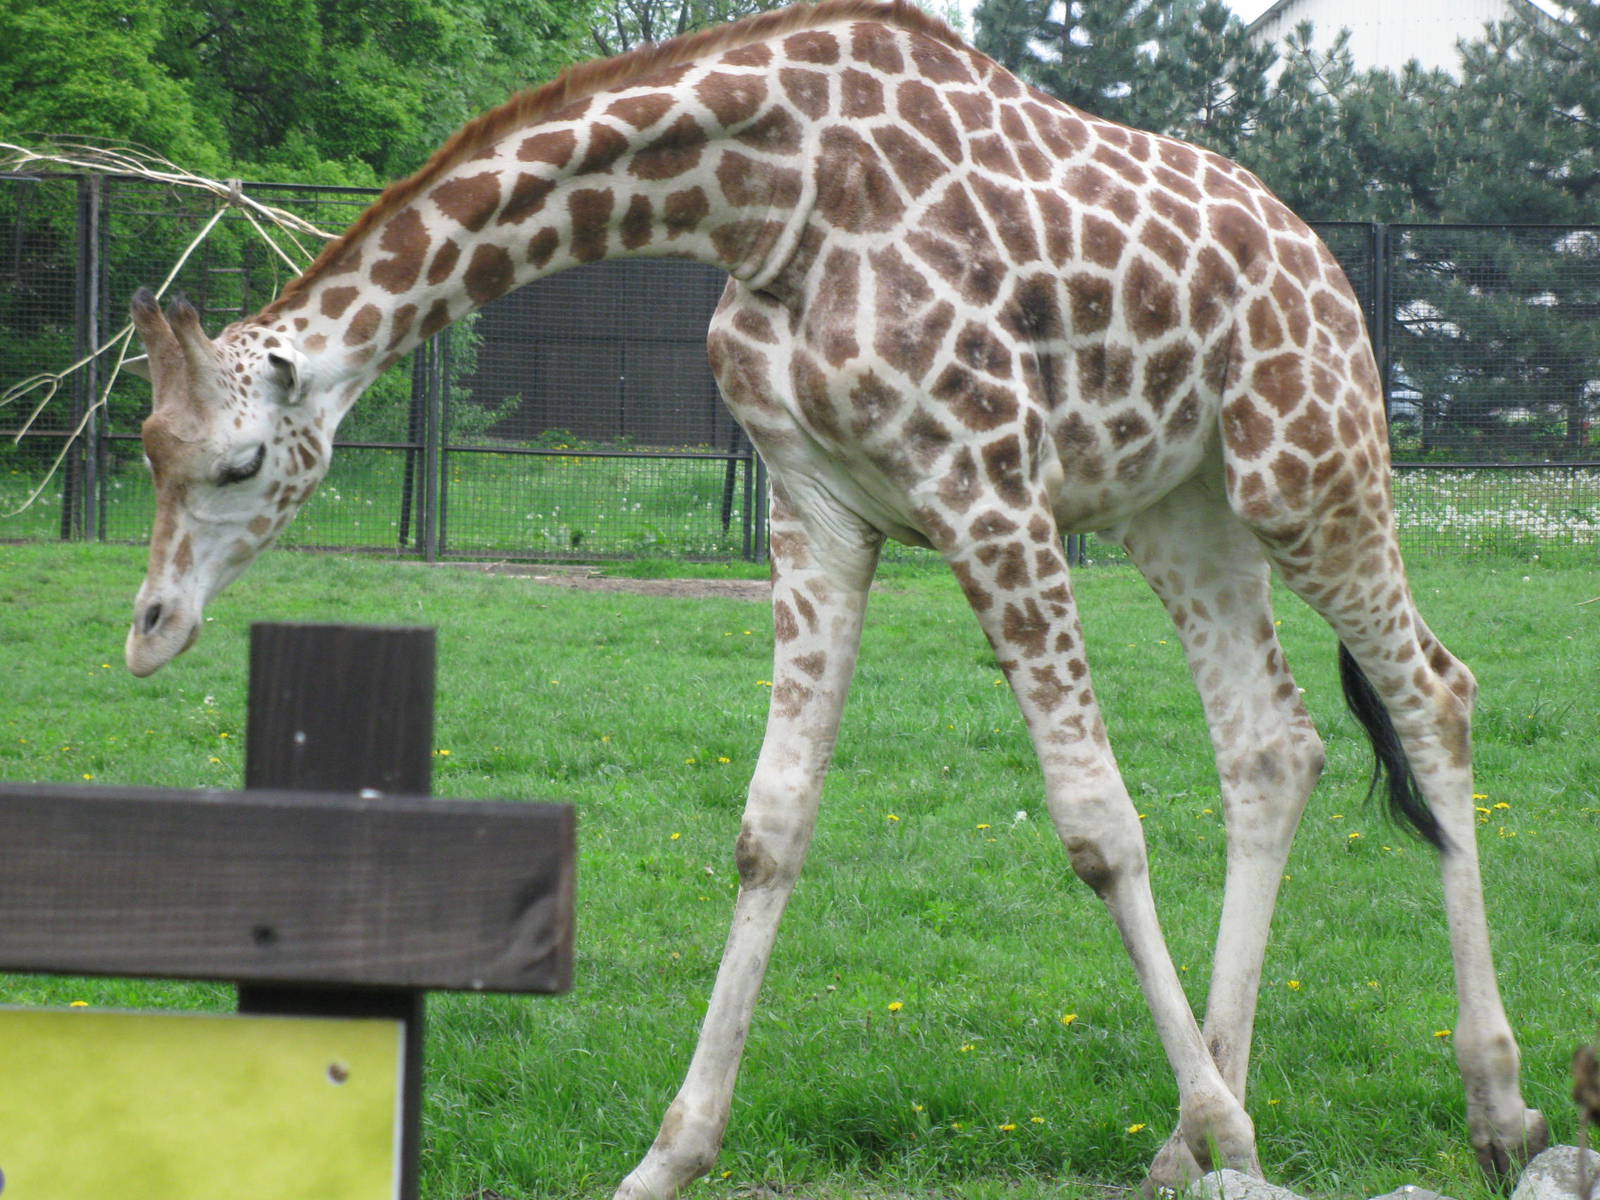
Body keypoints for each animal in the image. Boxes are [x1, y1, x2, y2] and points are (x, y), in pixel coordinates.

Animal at [121, 2, 1548, 1194]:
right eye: (143, 447)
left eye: (237, 461)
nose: (150, 632)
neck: (765, 200)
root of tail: (1331, 269)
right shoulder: (815, 510)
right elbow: (770, 825)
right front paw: (666, 1156)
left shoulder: (985, 484)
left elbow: (1097, 825)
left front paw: (1225, 1120)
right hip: (1179, 509)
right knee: (1273, 745)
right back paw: (1188, 1149)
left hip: (1305, 471)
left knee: (1436, 689)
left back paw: (1494, 1109)